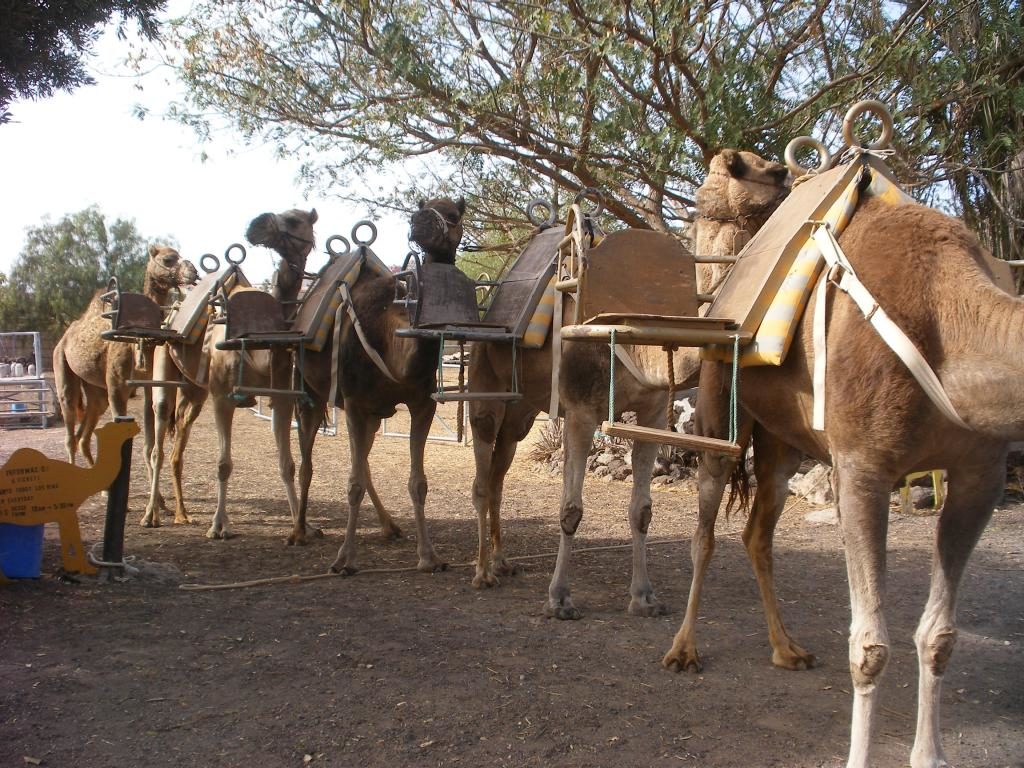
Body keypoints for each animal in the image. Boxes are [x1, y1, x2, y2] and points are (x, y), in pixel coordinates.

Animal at [53, 245, 198, 505]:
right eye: (168, 259)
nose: (193, 272)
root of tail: (64, 338)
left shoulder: (148, 386)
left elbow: (148, 443)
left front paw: (159, 501)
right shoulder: (117, 387)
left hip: (96, 391)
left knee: (83, 435)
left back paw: (102, 487)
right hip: (63, 368)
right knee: (70, 431)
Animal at [143, 209, 316, 535]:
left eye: (295, 219)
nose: (256, 225)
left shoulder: (282, 397)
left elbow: (287, 463)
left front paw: (302, 526)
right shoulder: (222, 396)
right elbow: (223, 464)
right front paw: (219, 525)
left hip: (195, 392)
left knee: (178, 441)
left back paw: (183, 514)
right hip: (165, 373)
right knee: (157, 442)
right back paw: (151, 515)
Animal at [659, 158, 1017, 767]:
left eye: (705, 206)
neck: (950, 319)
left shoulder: (981, 478)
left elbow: (940, 636)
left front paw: (929, 755)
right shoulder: (863, 468)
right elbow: (869, 646)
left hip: (783, 444)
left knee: (758, 531)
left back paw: (787, 649)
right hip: (719, 410)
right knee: (704, 531)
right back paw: (684, 650)